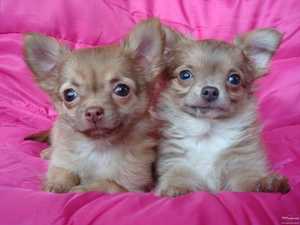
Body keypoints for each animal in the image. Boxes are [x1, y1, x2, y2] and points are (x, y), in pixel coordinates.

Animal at [22, 18, 164, 193]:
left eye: (122, 90)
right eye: (69, 95)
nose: (93, 112)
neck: (98, 147)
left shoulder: (134, 185)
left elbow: (107, 184)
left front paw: (80, 189)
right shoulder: (62, 164)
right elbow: (65, 172)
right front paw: (56, 185)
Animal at [155, 27, 290, 197]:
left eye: (234, 79)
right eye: (185, 75)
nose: (210, 91)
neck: (207, 131)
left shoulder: (241, 163)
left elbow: (249, 179)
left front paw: (266, 183)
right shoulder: (175, 161)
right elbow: (178, 176)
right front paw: (179, 188)